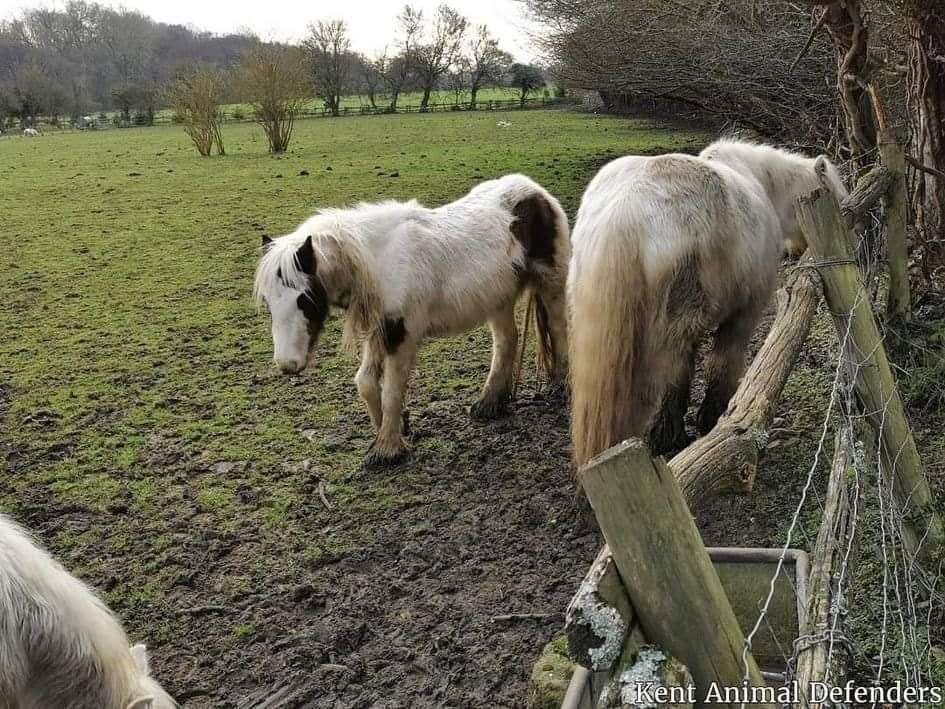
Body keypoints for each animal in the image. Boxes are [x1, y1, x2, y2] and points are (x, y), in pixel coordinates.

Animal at [251, 174, 572, 468]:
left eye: (304, 299)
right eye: (268, 302)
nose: (287, 365)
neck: (379, 261)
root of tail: (535, 191)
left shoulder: (401, 335)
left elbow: (392, 390)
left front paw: (387, 449)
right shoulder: (379, 330)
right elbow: (366, 382)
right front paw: (394, 428)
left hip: (551, 284)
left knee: (558, 331)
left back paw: (559, 387)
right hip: (497, 299)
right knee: (507, 341)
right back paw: (490, 402)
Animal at [564, 140, 844, 470]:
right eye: (836, 195)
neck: (760, 180)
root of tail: (625, 211)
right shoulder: (744, 313)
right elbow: (722, 363)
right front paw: (714, 417)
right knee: (670, 377)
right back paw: (668, 436)